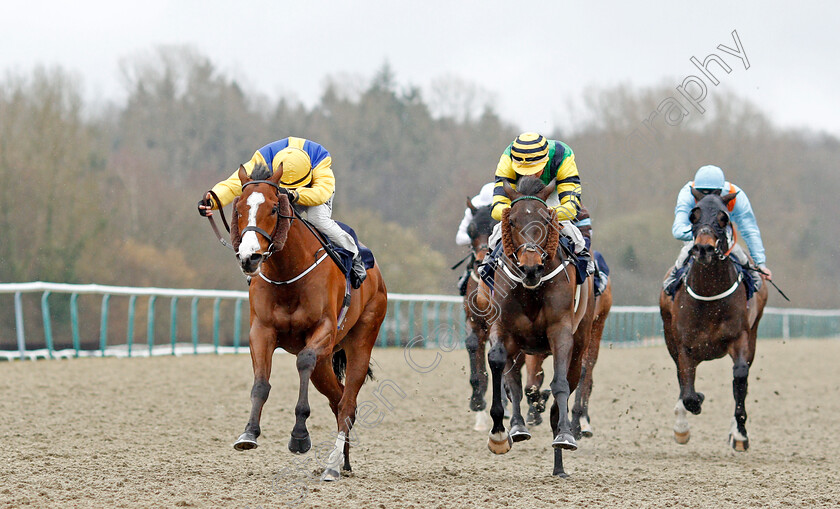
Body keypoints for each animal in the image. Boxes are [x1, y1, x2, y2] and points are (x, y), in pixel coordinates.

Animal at [230, 164, 388, 480]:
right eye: (239, 208)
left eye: (274, 208)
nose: (249, 257)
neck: (288, 273)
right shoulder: (261, 331)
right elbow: (260, 383)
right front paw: (249, 433)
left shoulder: (323, 330)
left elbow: (303, 360)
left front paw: (300, 436)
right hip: (325, 360)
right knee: (338, 400)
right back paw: (344, 461)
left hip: (361, 339)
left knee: (348, 403)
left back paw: (333, 465)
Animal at [482, 176, 592, 476]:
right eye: (512, 221)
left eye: (544, 220)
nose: (530, 268)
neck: (531, 288)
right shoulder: (502, 328)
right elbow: (502, 369)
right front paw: (501, 433)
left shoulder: (561, 330)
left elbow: (560, 384)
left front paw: (565, 435)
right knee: (515, 381)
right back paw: (518, 427)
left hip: (580, 343)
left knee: (566, 385)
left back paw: (559, 463)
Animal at [660, 189, 772, 450]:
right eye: (693, 215)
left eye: (723, 218)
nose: (703, 249)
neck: (709, 296)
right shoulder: (684, 346)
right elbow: (688, 392)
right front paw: (685, 422)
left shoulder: (740, 338)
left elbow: (740, 377)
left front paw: (740, 434)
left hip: (753, 335)